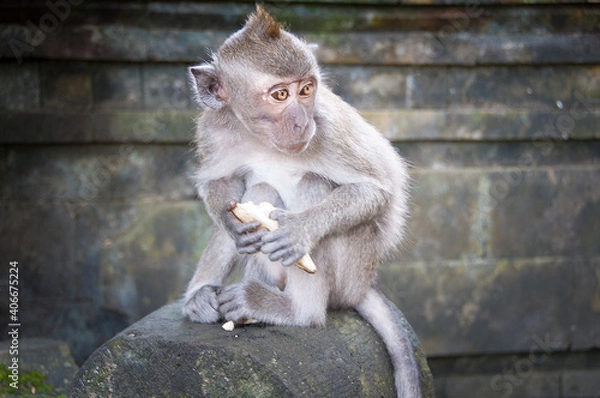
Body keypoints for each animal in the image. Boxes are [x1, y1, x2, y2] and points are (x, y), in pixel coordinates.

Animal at [182, 6, 426, 398]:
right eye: (281, 94)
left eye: (307, 89)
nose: (300, 122)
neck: (262, 139)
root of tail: (364, 284)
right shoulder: (213, 129)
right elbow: (219, 184)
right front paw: (234, 225)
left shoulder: (327, 129)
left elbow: (375, 191)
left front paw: (299, 231)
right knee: (261, 190)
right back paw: (203, 296)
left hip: (351, 271)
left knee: (315, 183)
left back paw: (296, 312)